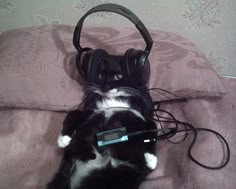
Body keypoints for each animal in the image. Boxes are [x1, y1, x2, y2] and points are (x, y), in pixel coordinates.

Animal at [47, 58, 158, 188]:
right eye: (100, 75)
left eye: (118, 76)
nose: (105, 86)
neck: (113, 101)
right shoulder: (92, 113)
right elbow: (73, 113)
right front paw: (63, 138)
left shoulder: (142, 116)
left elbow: (154, 127)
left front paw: (151, 159)